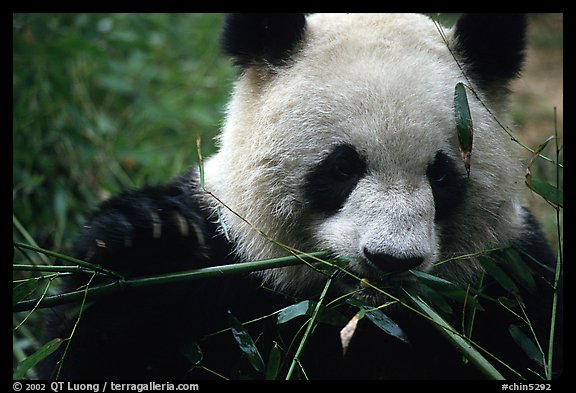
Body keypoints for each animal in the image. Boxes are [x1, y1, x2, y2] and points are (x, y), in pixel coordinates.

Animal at [40, 13, 564, 378]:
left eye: (441, 176)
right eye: (343, 167)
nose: (390, 260)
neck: (356, 314)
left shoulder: (510, 280)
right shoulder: (227, 255)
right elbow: (96, 346)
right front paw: (149, 241)